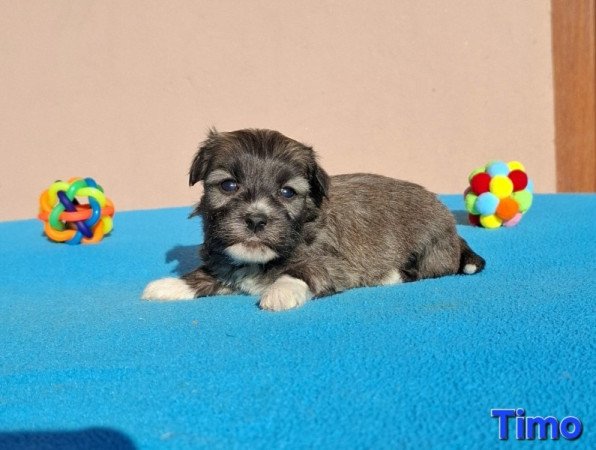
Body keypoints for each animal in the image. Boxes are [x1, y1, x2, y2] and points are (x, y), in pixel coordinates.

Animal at [143, 126, 484, 310]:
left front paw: (280, 291)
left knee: (426, 271)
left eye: (287, 192)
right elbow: (208, 273)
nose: (256, 220)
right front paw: (171, 285)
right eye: (228, 185)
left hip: (430, 247)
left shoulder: (335, 264)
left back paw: (388, 276)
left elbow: (304, 271)